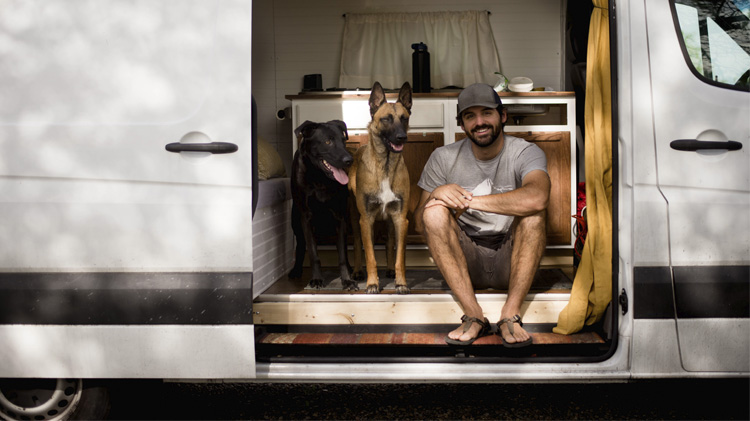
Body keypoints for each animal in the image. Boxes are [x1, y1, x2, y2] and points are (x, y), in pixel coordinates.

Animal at [288, 118, 358, 288]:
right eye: (328, 141)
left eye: (343, 141)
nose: (349, 160)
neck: (320, 178)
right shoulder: (306, 218)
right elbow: (313, 253)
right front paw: (317, 279)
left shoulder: (340, 217)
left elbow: (342, 254)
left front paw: (346, 279)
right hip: (296, 221)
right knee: (301, 245)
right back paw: (296, 270)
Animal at [350, 81, 414, 292]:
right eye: (386, 119)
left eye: (404, 118)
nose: (402, 137)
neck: (385, 165)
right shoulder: (366, 220)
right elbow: (370, 256)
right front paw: (372, 283)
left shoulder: (401, 219)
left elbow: (400, 256)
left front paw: (401, 282)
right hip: (355, 218)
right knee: (357, 243)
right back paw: (357, 271)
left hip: (390, 222)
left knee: (389, 242)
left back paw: (390, 270)